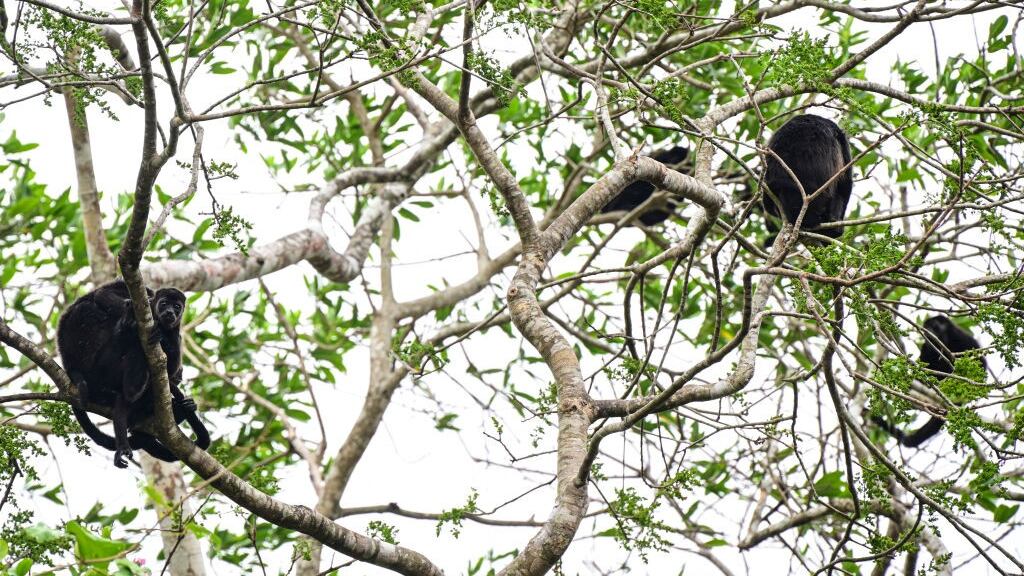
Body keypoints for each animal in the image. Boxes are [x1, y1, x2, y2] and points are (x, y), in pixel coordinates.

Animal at [57, 280, 210, 468]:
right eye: (164, 304)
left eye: (176, 307)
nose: (169, 312)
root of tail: (69, 363)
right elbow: (103, 294)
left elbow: (171, 361)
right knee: (89, 307)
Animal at [872, 316, 987, 447]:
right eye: (926, 327)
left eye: (934, 326)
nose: (928, 332)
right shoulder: (927, 346)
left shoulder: (961, 337)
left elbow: (980, 362)